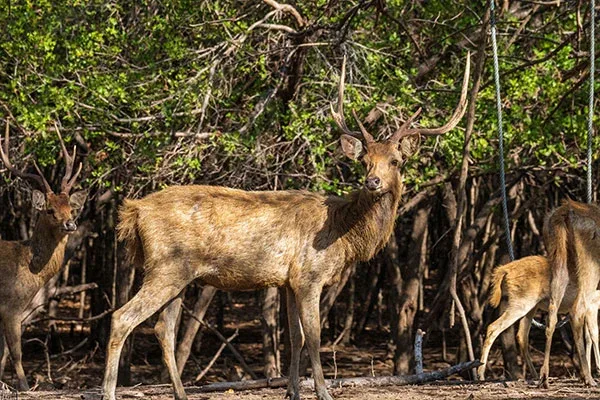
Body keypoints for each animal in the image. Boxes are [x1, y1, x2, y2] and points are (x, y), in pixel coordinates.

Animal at [0, 122, 87, 390]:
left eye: (71, 208)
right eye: (50, 210)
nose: (71, 224)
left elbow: (2, 354)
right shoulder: (10, 306)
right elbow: (16, 353)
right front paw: (25, 387)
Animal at [101, 54, 472, 400]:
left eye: (395, 161)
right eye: (364, 161)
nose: (373, 182)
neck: (345, 237)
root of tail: (134, 212)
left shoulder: (288, 281)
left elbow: (294, 337)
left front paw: (292, 390)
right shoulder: (310, 275)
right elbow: (314, 335)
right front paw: (323, 391)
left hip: (178, 275)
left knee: (163, 329)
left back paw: (179, 392)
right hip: (166, 267)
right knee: (122, 317)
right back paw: (108, 391)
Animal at [540, 202, 600, 386]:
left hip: (560, 261)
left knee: (552, 312)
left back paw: (544, 377)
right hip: (591, 264)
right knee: (577, 309)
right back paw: (588, 378)